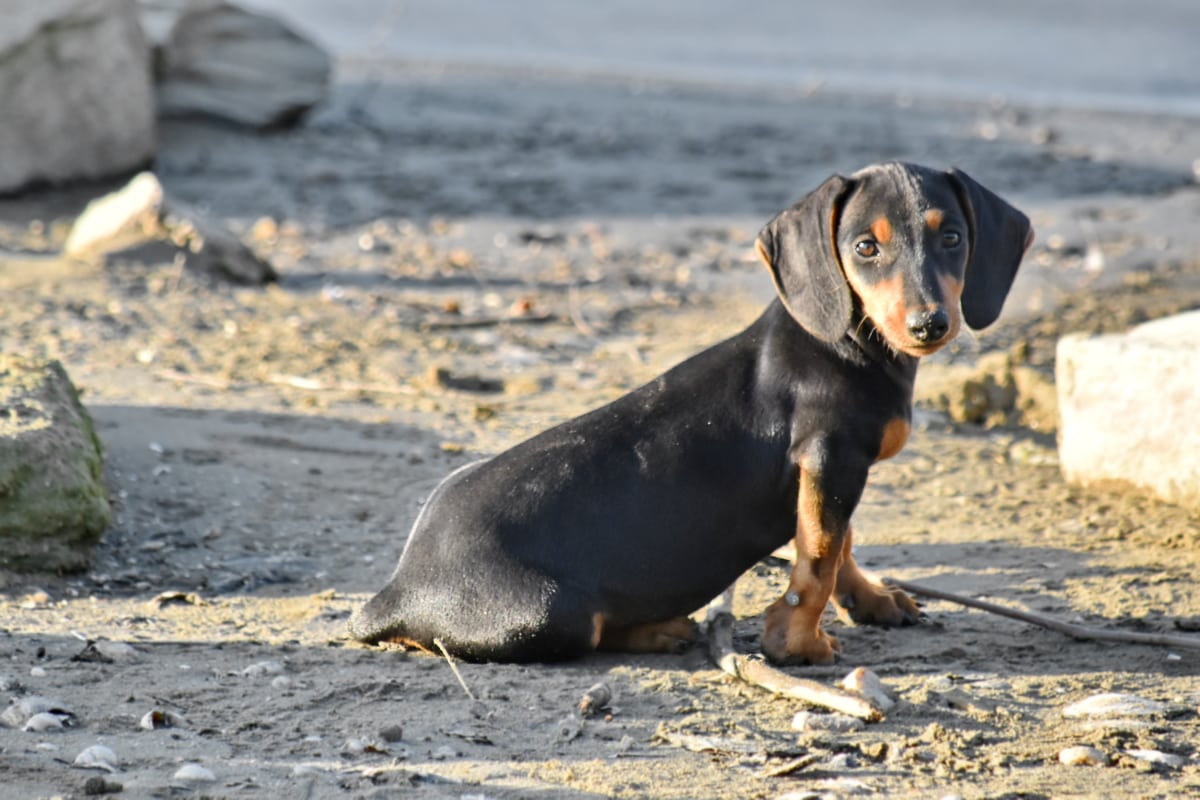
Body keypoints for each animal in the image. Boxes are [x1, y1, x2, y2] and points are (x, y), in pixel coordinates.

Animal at [348, 160, 1032, 662]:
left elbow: (840, 545)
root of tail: (398, 590)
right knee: (582, 632)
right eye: (865, 247)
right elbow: (818, 556)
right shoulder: (829, 458)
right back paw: (660, 629)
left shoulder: (831, 471)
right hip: (547, 614)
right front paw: (798, 643)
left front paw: (870, 600)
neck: (842, 342)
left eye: (953, 238)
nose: (929, 324)